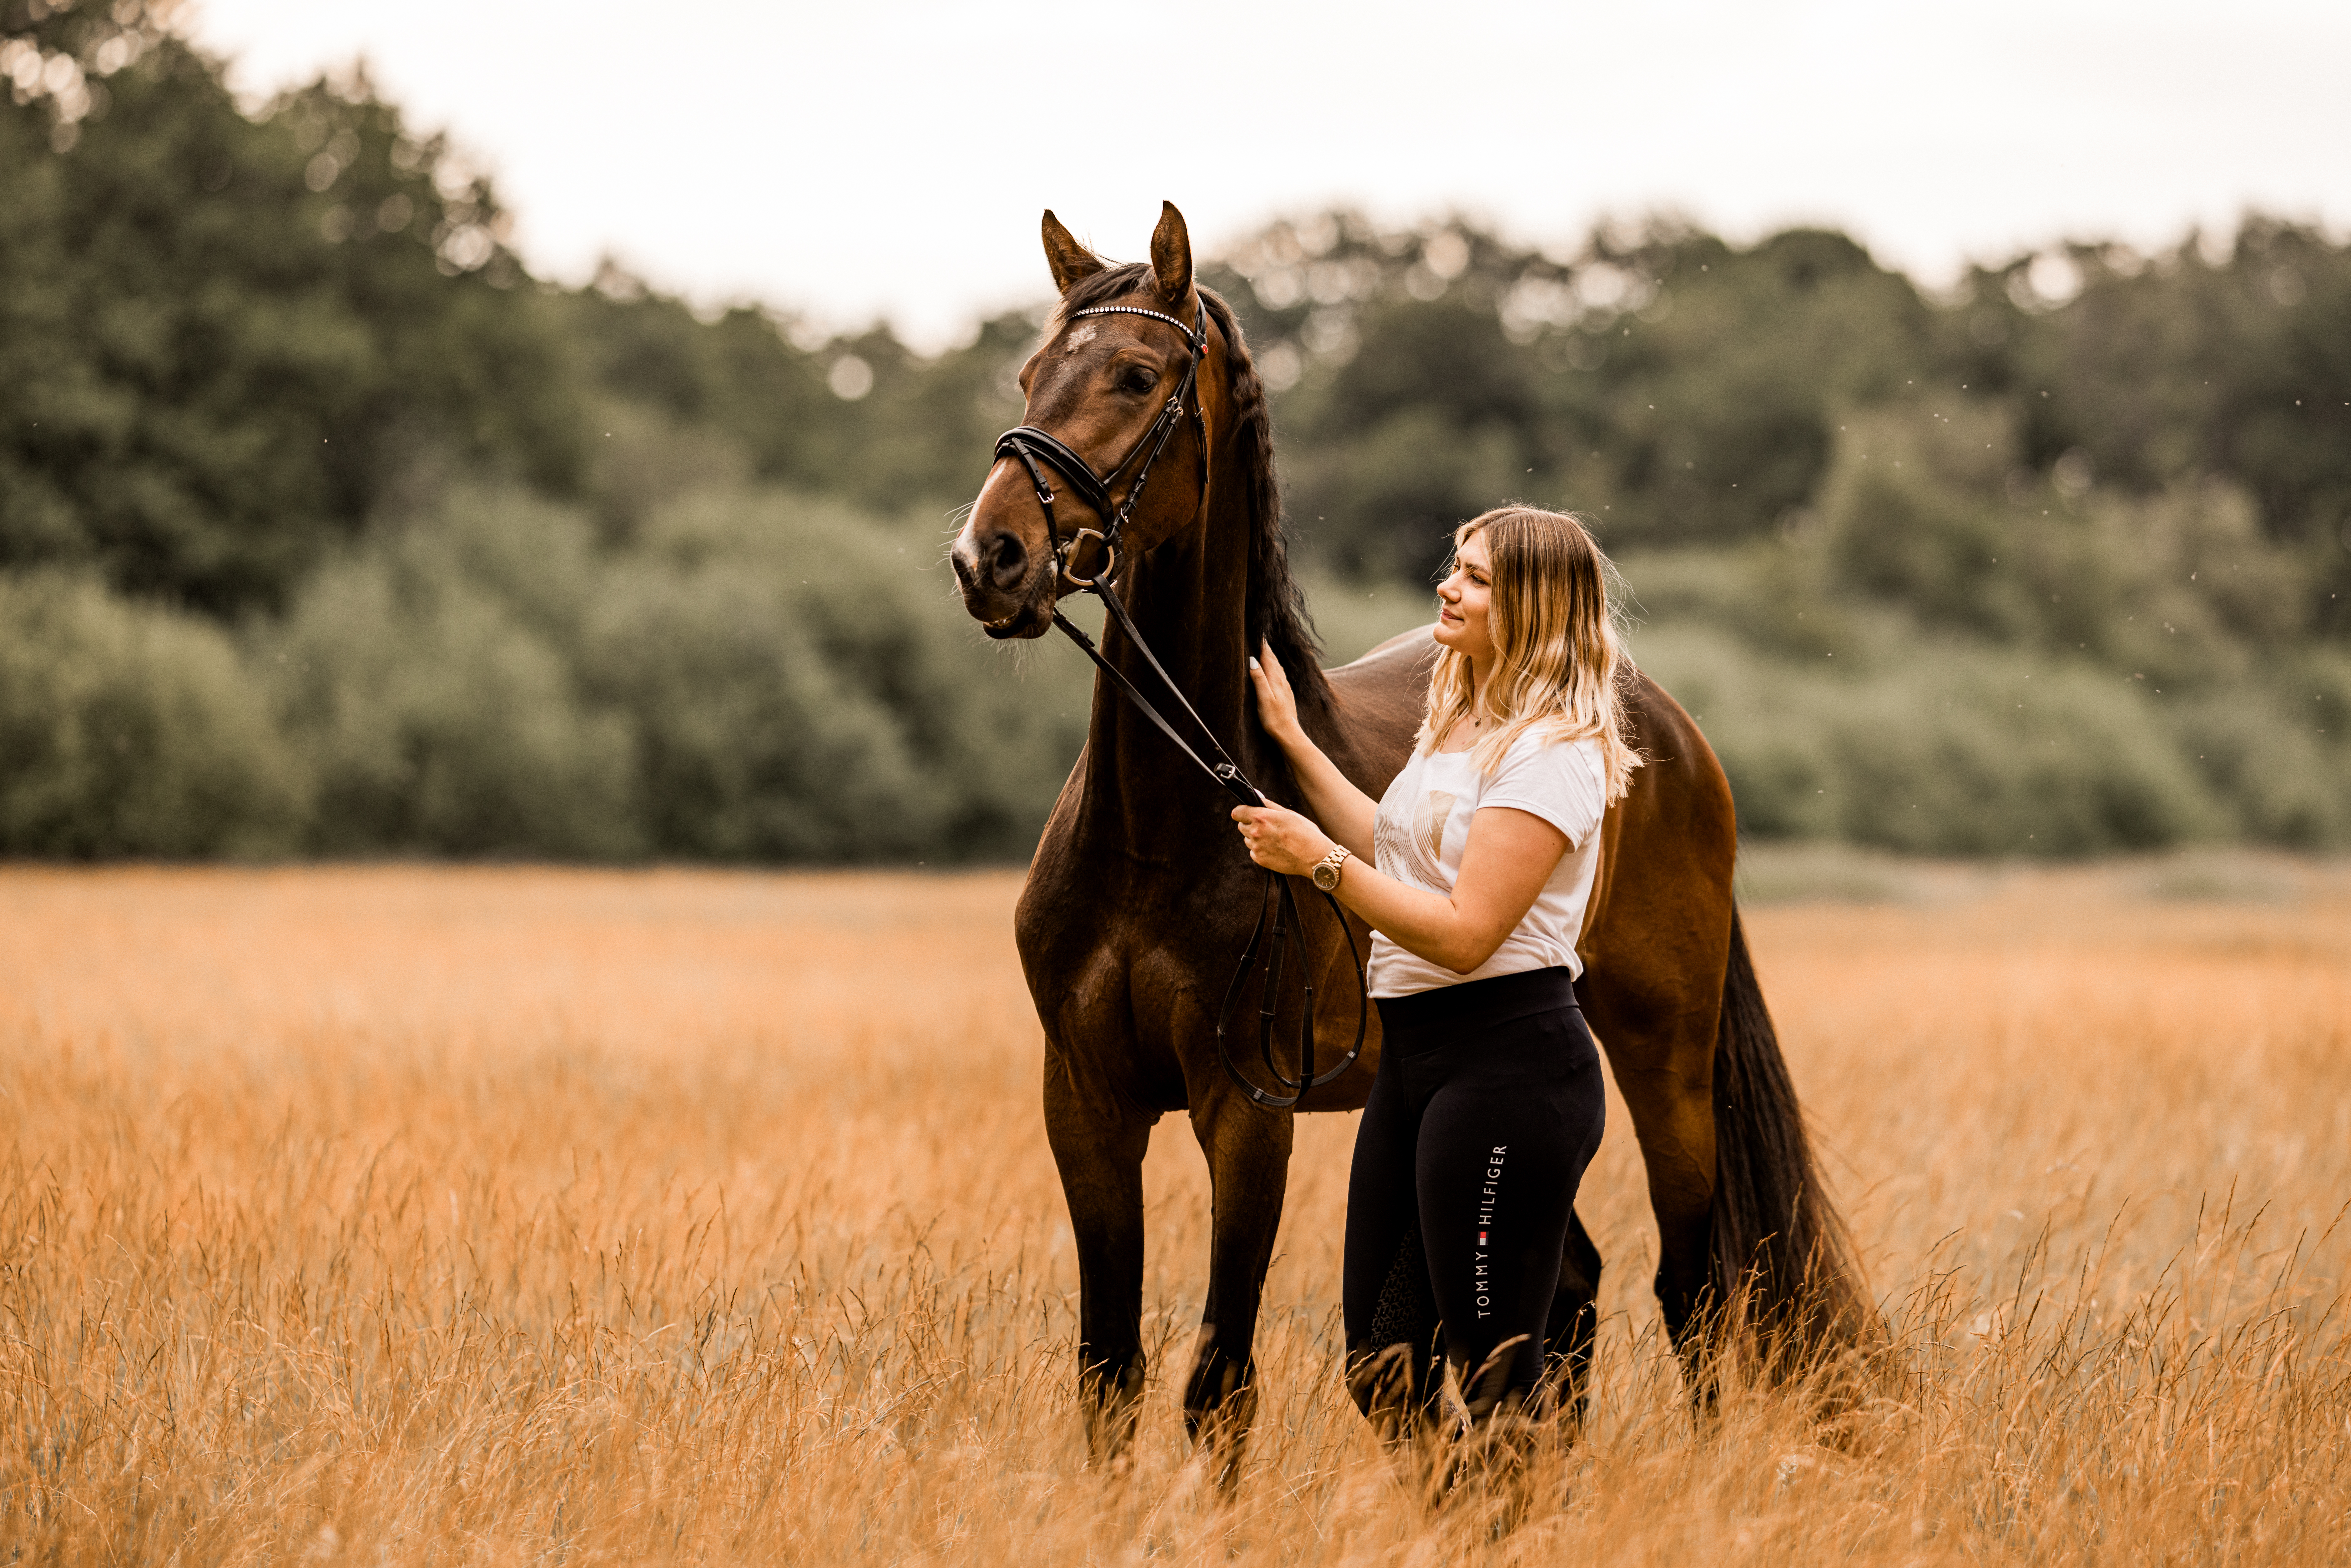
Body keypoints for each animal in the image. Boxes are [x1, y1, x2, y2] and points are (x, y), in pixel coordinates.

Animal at [949, 202, 1873, 1463]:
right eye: (1031, 374)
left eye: (1135, 375)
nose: (988, 558)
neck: (1160, 826)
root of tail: (1656, 718)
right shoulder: (1084, 1104)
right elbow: (1109, 1373)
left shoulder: (1247, 1114)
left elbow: (1218, 1384)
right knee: (1564, 1291)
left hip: (1664, 1057)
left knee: (1690, 1287)